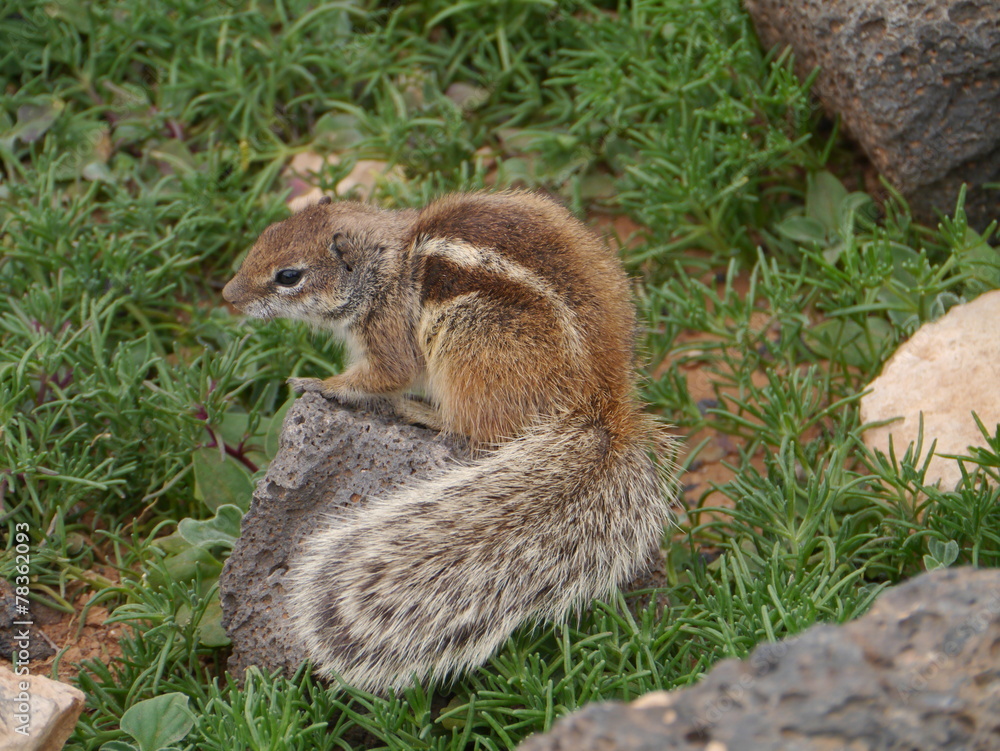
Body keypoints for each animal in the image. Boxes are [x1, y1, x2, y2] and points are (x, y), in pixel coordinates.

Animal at [222, 190, 676, 694]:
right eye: (265, 236)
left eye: (289, 276)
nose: (228, 296)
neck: (384, 265)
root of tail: (602, 404)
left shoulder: (388, 332)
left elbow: (385, 375)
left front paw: (320, 383)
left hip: (469, 334)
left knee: (477, 428)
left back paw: (421, 412)